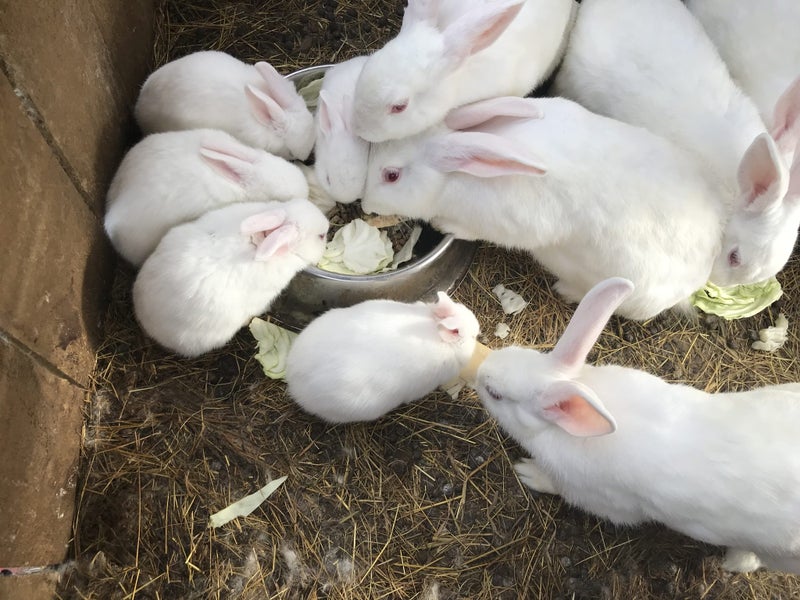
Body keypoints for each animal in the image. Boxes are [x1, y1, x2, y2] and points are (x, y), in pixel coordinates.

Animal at [362, 95, 728, 320]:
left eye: (391, 175)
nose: (364, 204)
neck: (455, 178)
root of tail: (696, 278)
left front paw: (444, 225)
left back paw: (565, 289)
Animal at [476, 276, 800, 575]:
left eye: (495, 394)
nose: (480, 371)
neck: (558, 430)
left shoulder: (602, 499)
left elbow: (559, 487)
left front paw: (528, 472)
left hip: (775, 552)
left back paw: (733, 562)